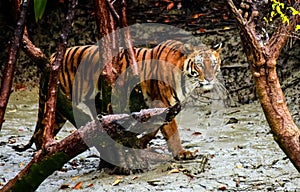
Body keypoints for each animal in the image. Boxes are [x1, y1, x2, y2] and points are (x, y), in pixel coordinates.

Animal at [27, 39, 221, 160]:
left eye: (214, 64)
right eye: (199, 65)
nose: (210, 79)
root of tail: (52, 56)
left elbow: (155, 128)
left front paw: (141, 142)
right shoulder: (161, 102)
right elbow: (171, 130)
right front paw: (181, 153)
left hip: (60, 111)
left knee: (40, 134)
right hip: (60, 103)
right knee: (42, 134)